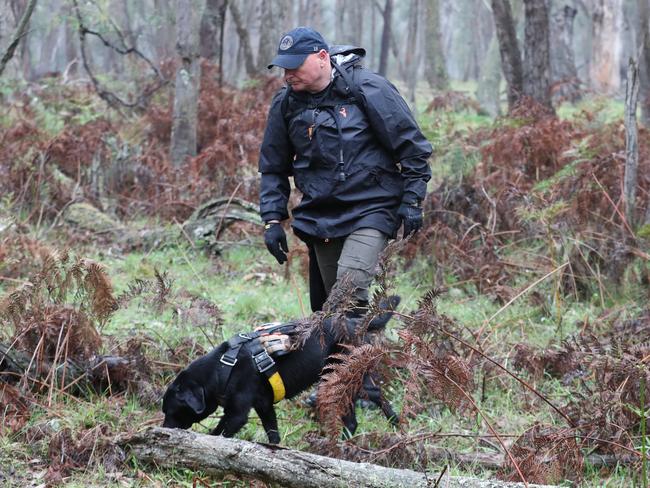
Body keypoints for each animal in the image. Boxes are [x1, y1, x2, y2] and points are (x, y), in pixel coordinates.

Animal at [162, 296, 398, 444]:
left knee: (367, 404)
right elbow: (273, 434)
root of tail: (354, 324)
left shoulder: (237, 414)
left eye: (171, 411)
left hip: (342, 377)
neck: (224, 367)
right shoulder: (264, 406)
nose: (162, 430)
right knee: (363, 409)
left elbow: (218, 433)